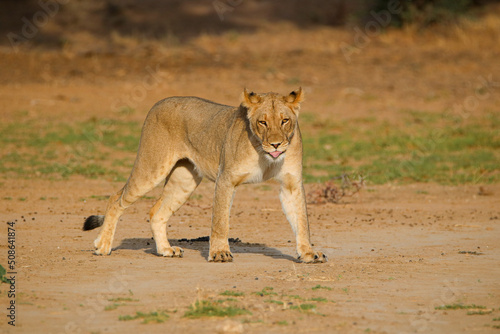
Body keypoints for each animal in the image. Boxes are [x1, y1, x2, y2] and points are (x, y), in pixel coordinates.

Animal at [83, 88, 328, 264]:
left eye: (284, 120)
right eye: (263, 122)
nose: (276, 144)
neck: (265, 155)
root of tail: (159, 102)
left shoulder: (291, 184)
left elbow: (302, 220)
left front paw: (308, 253)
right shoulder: (226, 179)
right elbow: (220, 221)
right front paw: (219, 253)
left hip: (184, 180)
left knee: (156, 211)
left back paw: (165, 250)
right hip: (151, 167)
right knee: (115, 198)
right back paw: (102, 246)